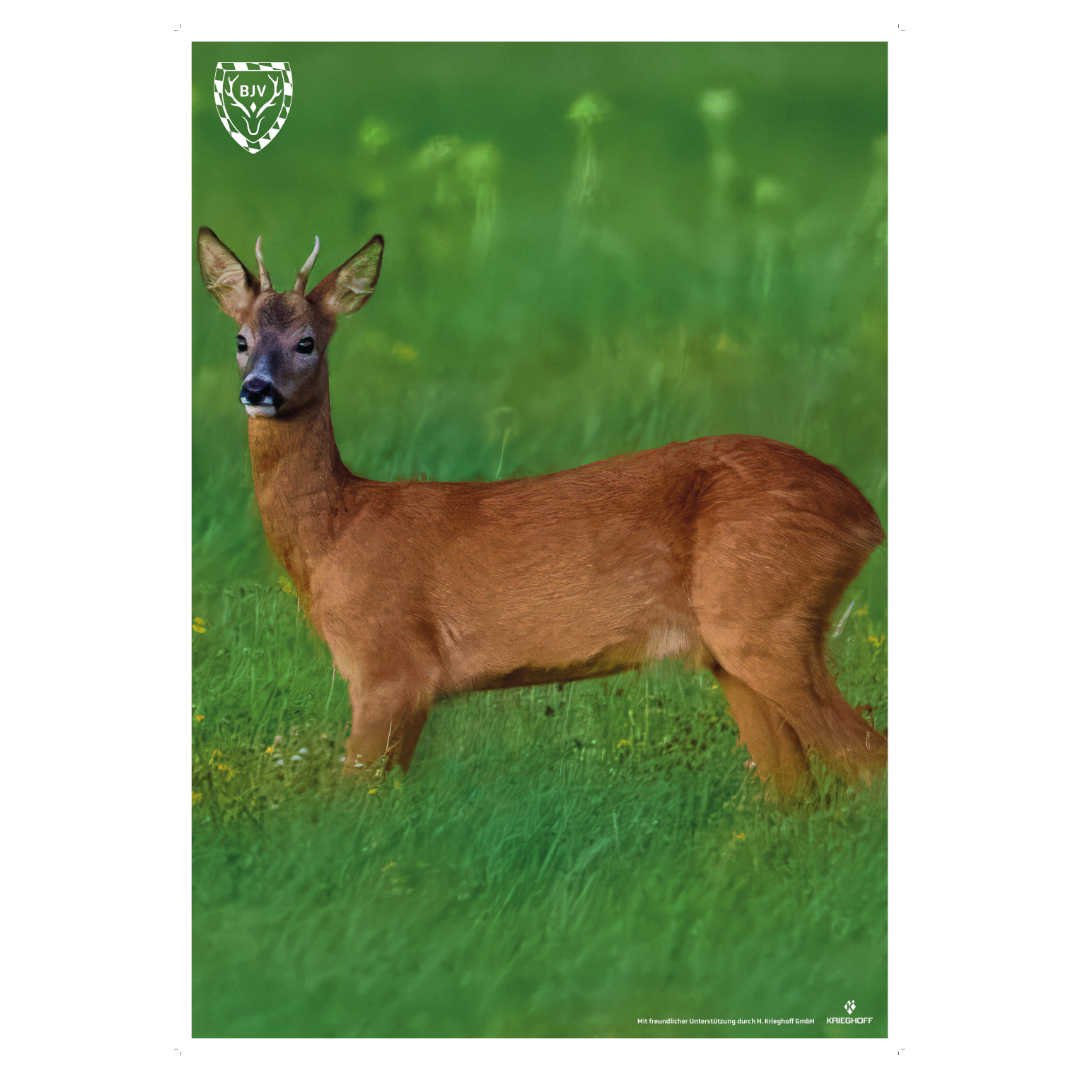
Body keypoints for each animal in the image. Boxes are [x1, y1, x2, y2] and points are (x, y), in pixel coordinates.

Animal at [196, 227, 887, 799]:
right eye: (240, 339)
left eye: (307, 342)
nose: (257, 389)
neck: (336, 533)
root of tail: (864, 514)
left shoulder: (390, 665)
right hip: (733, 651)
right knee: (796, 791)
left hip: (766, 619)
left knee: (866, 760)